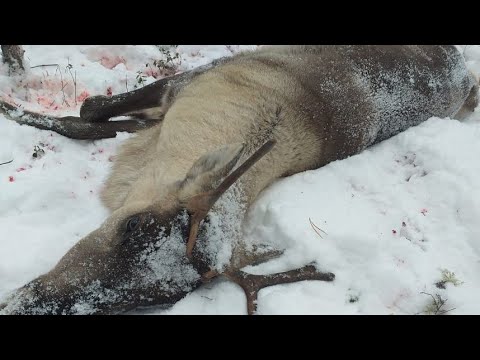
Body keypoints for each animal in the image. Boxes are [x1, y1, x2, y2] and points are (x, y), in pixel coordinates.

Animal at [0, 45, 480, 316]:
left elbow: (88, 119)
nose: (30, 306)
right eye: (133, 226)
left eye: (159, 297)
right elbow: (92, 112)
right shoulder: (185, 82)